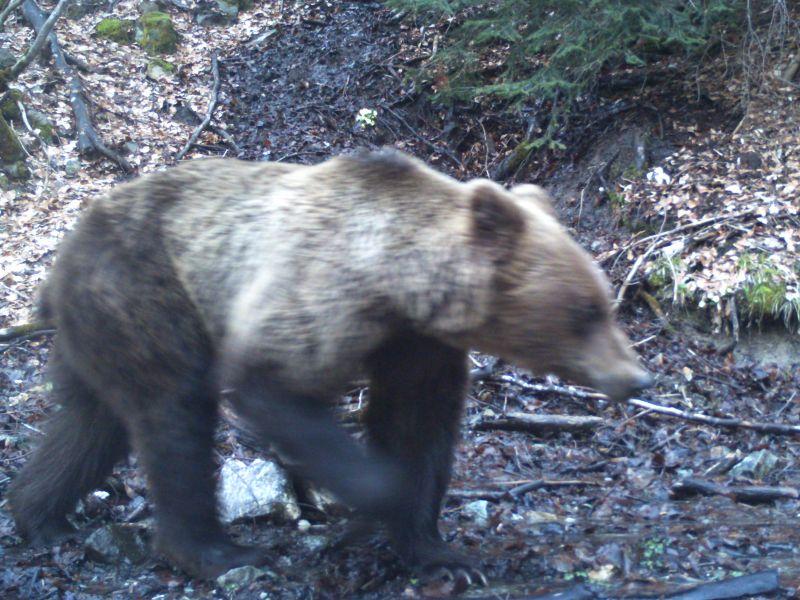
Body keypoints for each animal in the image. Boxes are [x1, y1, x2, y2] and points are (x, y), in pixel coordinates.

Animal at [6, 149, 648, 580]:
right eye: (585, 311)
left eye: (605, 301)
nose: (636, 376)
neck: (398, 280)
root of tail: (59, 264)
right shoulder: (318, 296)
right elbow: (271, 385)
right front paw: (375, 500)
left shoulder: (419, 345)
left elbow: (419, 426)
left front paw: (442, 555)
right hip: (147, 292)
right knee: (173, 417)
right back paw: (217, 552)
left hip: (103, 327)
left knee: (91, 424)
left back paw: (39, 516)